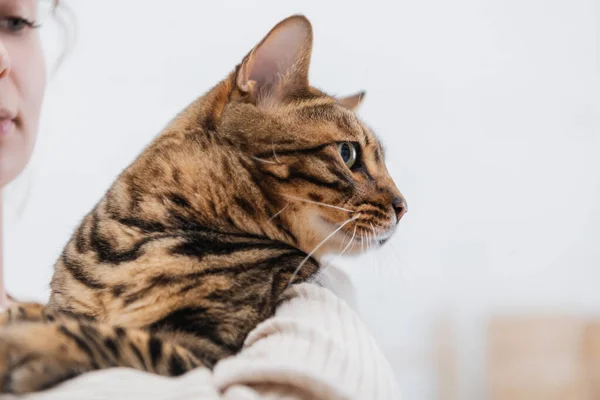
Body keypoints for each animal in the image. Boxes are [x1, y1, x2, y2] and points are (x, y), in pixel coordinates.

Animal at [0, 14, 408, 394]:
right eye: (348, 153)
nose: (404, 206)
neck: (139, 236)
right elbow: (58, 313)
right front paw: (23, 314)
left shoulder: (207, 347)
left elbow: (113, 337)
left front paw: (26, 343)